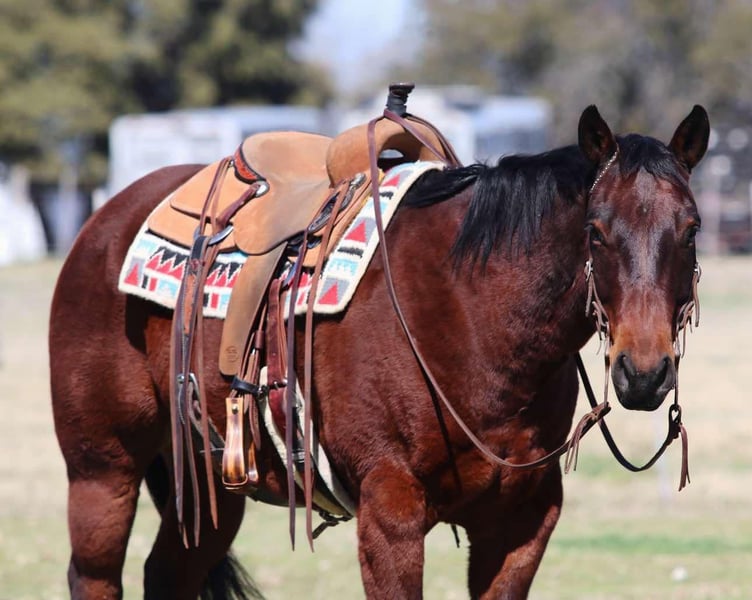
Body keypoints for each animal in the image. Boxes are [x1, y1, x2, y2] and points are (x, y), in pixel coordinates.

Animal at [49, 102, 709, 599]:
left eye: (692, 228)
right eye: (595, 231)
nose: (644, 373)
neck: (471, 316)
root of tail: (103, 221)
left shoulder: (521, 526)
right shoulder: (390, 517)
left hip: (212, 480)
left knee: (167, 575)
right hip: (101, 470)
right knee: (93, 576)